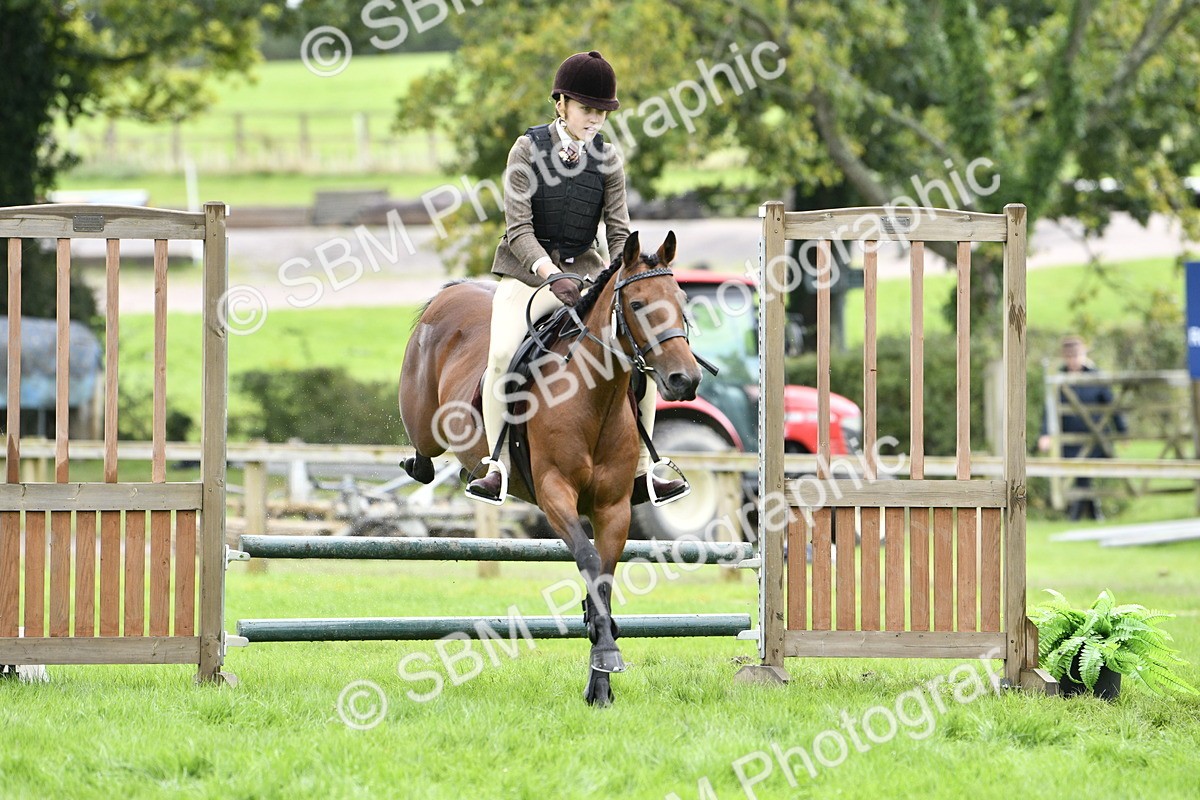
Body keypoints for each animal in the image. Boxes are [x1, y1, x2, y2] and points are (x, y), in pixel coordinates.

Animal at [398, 231, 702, 705]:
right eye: (636, 304)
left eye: (682, 301)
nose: (685, 380)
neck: (593, 396)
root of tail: (452, 293)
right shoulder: (555, 491)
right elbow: (588, 559)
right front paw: (606, 651)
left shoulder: (613, 507)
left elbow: (603, 576)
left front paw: (600, 680)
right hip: (425, 422)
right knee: (423, 452)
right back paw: (434, 468)